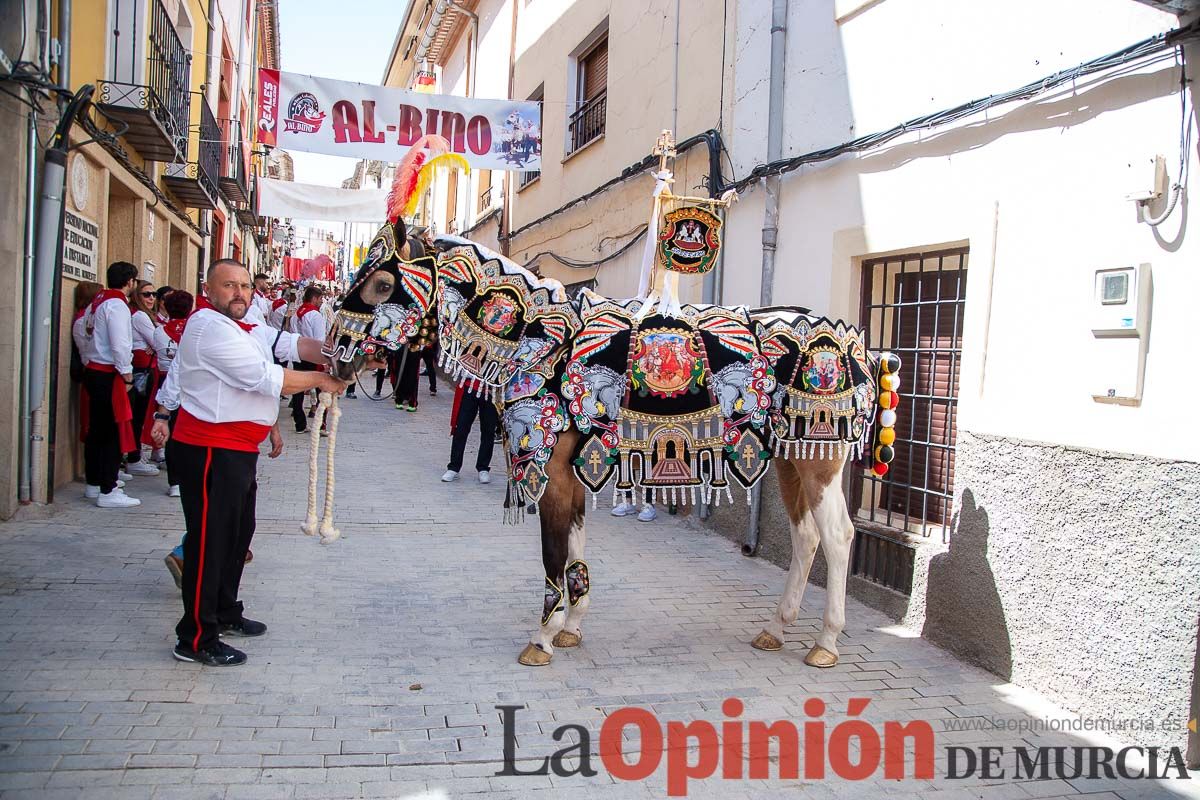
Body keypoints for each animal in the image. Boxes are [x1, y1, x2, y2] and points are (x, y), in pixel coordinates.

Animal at [321, 133, 902, 671]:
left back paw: (826, 642)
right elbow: (575, 557)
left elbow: (553, 557)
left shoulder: (552, 473)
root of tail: (858, 348)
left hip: (821, 462)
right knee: (806, 538)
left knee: (838, 537)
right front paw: (571, 627)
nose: (336, 355)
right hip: (791, 459)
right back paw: (778, 629)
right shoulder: (575, 473)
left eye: (380, 283)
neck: (539, 341)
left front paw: (541, 639)